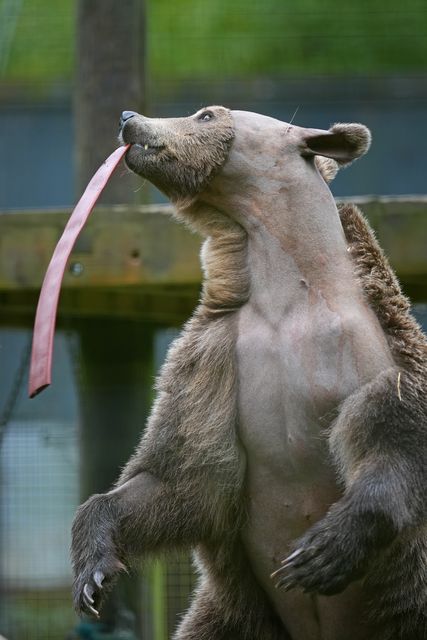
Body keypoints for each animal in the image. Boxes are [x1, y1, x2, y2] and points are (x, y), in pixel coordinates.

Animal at [72, 106, 426, 640]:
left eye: (206, 114)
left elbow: (393, 434)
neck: (290, 296)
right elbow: (180, 477)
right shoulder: (214, 366)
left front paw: (321, 552)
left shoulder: (381, 359)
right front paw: (93, 573)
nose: (130, 117)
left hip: (404, 607)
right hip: (241, 613)